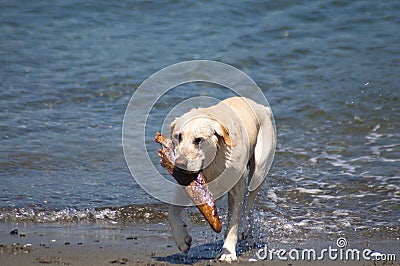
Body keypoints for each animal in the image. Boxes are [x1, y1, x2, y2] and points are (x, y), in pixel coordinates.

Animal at [168, 96, 276, 262]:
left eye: (198, 140)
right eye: (178, 136)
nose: (179, 165)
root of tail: (262, 107)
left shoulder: (237, 187)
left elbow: (234, 221)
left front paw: (228, 252)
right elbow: (171, 211)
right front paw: (182, 239)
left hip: (259, 170)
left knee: (249, 203)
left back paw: (246, 231)